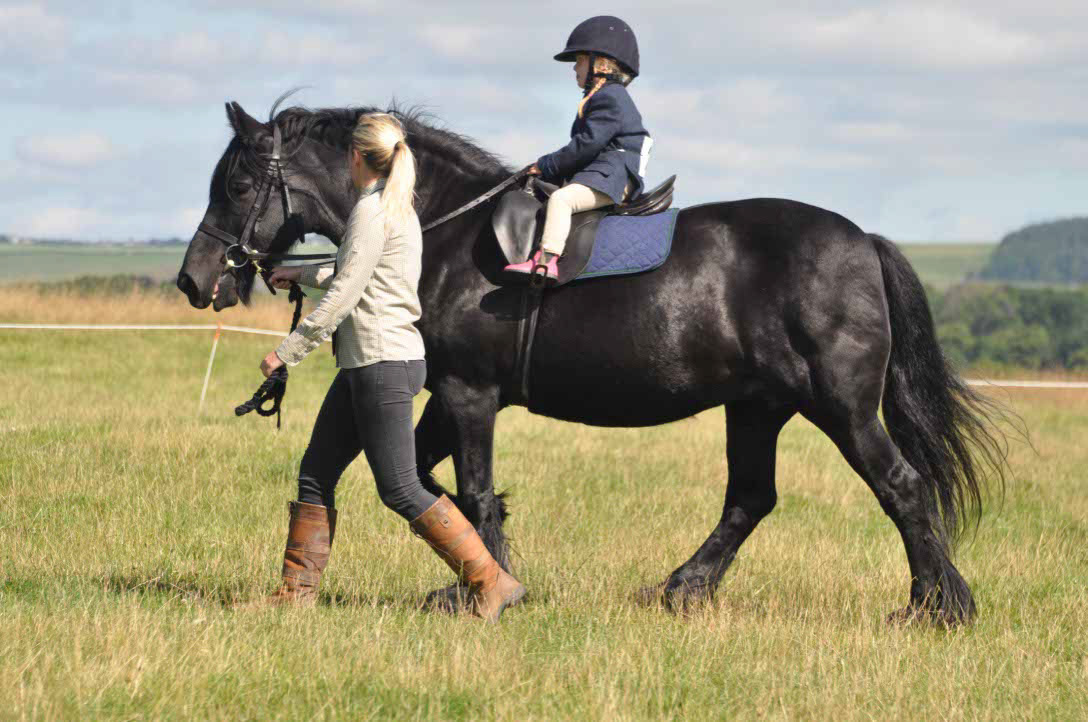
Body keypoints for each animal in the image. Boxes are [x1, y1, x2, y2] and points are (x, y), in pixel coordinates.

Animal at [177, 98, 1007, 625]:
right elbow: (430, 480)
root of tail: (862, 240)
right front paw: (475, 581)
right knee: (751, 499)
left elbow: (469, 491)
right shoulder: (449, 397)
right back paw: (682, 590)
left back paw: (935, 607)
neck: (441, 230)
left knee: (901, 486)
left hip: (839, 406)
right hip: (757, 407)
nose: (194, 279)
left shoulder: (469, 393)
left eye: (240, 184)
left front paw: (488, 590)